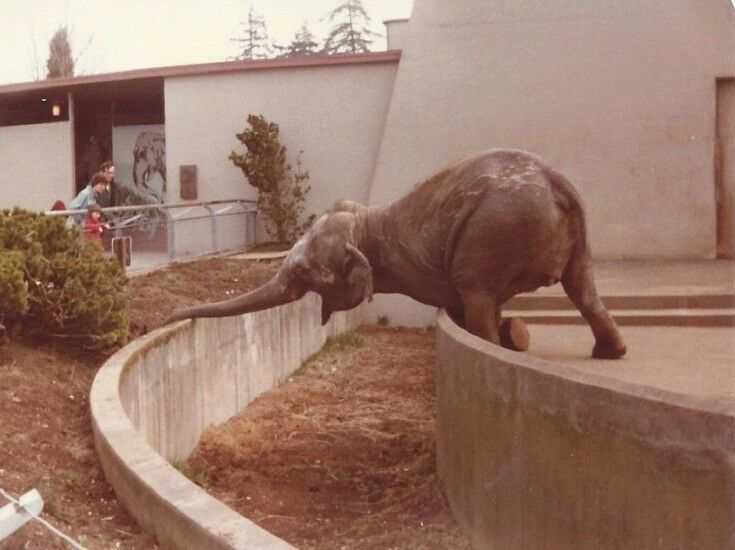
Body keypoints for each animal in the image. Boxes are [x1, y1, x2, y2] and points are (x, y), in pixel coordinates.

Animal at [165, 149, 628, 360]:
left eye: (302, 274)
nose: (164, 319)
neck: (367, 222)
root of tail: (558, 183)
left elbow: (460, 304)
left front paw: (507, 335)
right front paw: (515, 333)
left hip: (491, 235)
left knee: (479, 296)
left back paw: (495, 347)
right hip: (562, 241)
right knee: (584, 289)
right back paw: (609, 353)